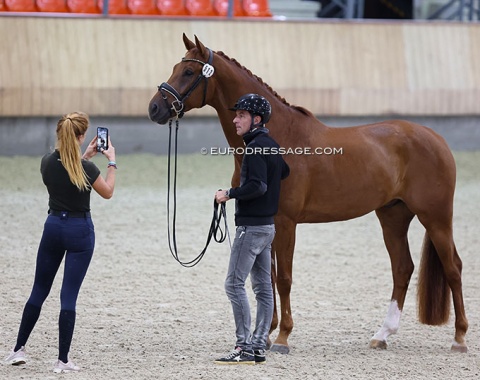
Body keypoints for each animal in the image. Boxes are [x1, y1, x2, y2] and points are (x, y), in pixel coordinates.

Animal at [148, 35, 466, 354]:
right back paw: (382, 335)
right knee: (402, 268)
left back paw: (459, 338)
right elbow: (267, 278)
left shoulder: (286, 222)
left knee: (453, 268)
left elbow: (283, 278)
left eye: (188, 72)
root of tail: (436, 138)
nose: (154, 108)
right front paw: (266, 333)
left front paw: (282, 337)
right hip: (393, 215)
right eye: (176, 67)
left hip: (436, 217)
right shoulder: (268, 222)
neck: (278, 138)